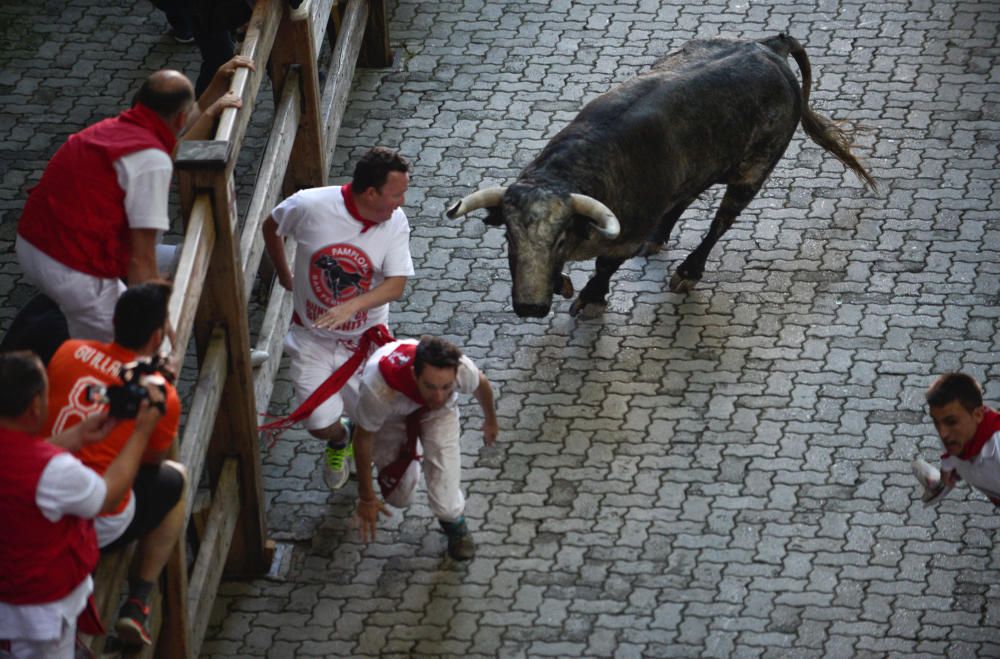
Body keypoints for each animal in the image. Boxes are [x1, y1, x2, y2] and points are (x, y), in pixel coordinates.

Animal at [446, 34, 876, 318]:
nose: (530, 307)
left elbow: (605, 267)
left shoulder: (623, 238)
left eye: (561, 238)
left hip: (753, 172)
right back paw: (660, 237)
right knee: (686, 197)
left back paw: (689, 270)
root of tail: (768, 46)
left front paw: (591, 297)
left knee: (722, 221)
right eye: (510, 236)